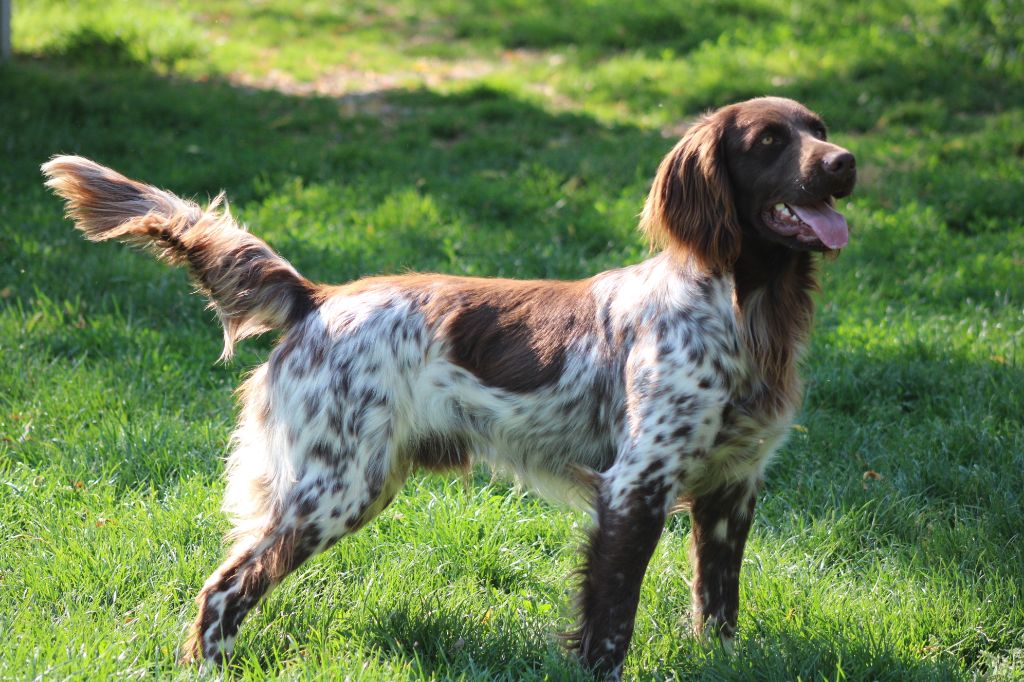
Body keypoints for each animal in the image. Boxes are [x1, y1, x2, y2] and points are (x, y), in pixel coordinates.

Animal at [41, 95, 856, 675]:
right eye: (769, 142)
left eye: (817, 128)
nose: (846, 162)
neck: (746, 310)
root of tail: (317, 299)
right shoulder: (635, 485)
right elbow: (610, 623)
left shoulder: (731, 488)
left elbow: (717, 607)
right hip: (334, 489)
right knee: (224, 587)